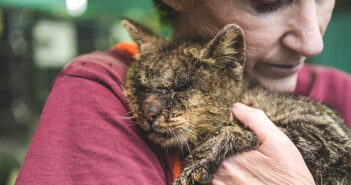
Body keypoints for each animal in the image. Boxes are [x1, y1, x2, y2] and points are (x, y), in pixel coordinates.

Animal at [121, 19, 351, 185]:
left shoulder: (331, 140)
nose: (149, 112)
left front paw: (198, 164)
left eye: (181, 87)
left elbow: (237, 130)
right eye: (140, 86)